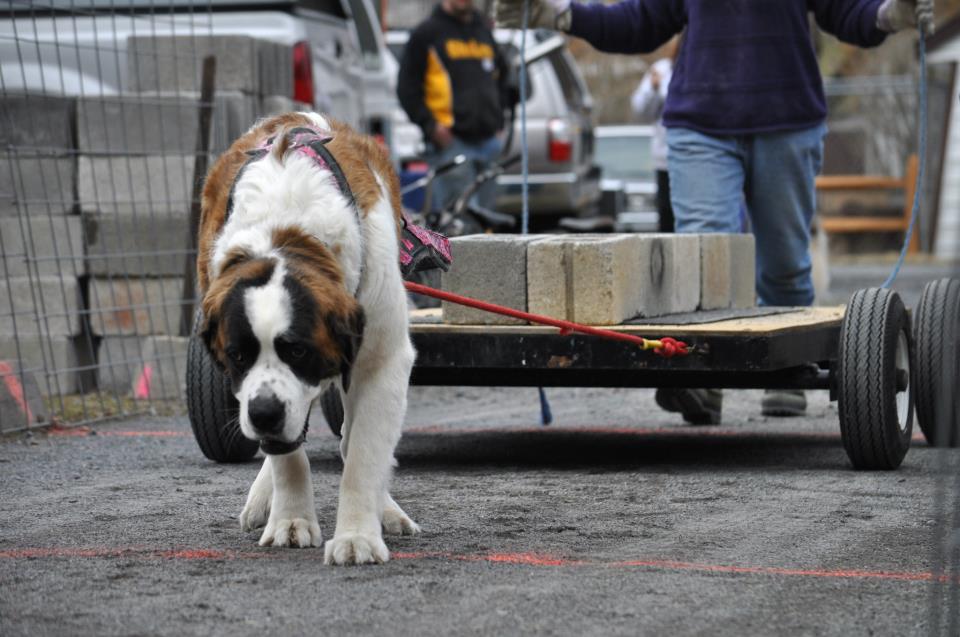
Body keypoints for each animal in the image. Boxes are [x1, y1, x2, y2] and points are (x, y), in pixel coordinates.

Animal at [197, 112, 418, 564]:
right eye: (237, 355)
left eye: (298, 350)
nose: (263, 414)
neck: (288, 233)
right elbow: (289, 458)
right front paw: (291, 520)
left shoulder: (382, 359)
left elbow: (363, 454)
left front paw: (357, 536)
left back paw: (385, 509)